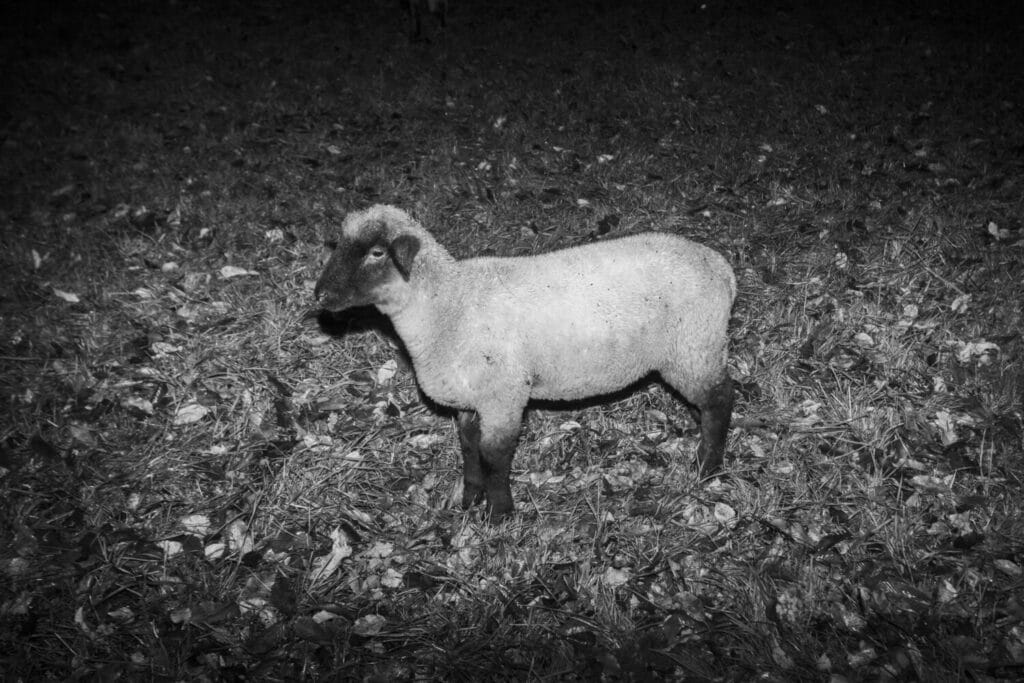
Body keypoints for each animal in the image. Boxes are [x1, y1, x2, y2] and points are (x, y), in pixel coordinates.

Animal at [315, 205, 736, 520]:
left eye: (377, 253)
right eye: (341, 245)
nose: (319, 295)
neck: (448, 305)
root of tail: (720, 266)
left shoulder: (503, 395)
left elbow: (494, 456)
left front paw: (499, 514)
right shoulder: (471, 399)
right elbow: (469, 449)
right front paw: (470, 499)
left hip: (693, 345)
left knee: (720, 400)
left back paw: (707, 466)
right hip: (694, 350)